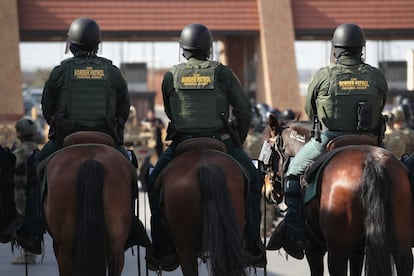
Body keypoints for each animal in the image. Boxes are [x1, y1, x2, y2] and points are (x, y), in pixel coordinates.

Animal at [264, 118, 412, 276]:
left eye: (268, 149)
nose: (266, 192)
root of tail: (372, 161)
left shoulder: (313, 247)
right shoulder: (358, 250)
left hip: (337, 251)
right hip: (402, 248)